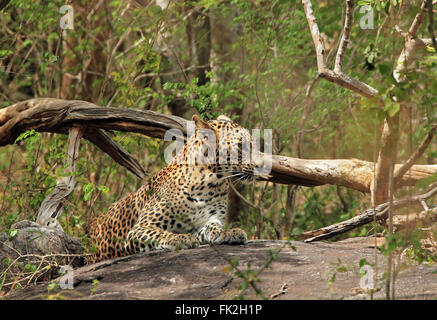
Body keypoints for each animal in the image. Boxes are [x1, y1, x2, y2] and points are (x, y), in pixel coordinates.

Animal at [87, 114, 266, 262]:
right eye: (241, 146)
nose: (262, 166)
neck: (210, 182)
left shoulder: (207, 220)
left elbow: (212, 227)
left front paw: (227, 233)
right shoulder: (139, 229)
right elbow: (159, 233)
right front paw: (180, 238)